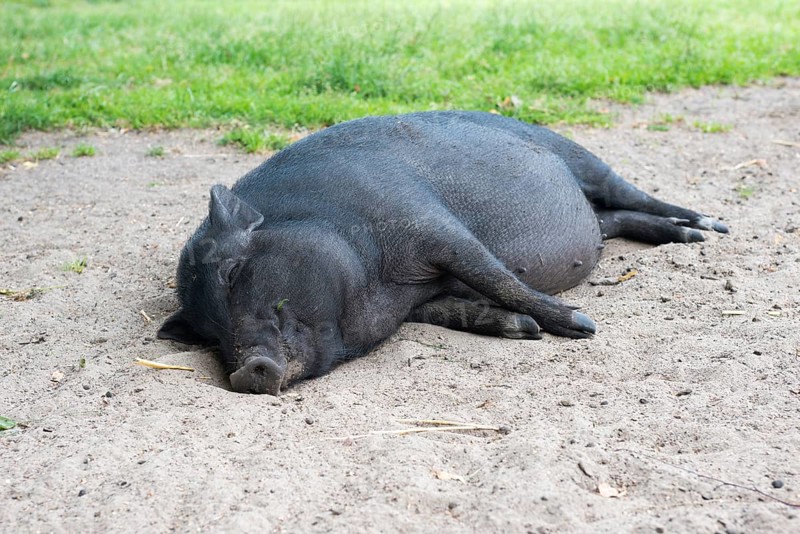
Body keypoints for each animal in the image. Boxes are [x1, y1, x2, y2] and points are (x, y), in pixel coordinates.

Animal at [157, 111, 727, 394]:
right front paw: (524, 330)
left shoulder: (431, 224)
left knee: (635, 195)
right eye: (205, 332)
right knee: (619, 221)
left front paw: (581, 325)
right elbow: (457, 309)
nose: (241, 373)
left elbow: (494, 273)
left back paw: (708, 229)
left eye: (233, 273)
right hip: (596, 220)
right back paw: (687, 236)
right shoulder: (420, 298)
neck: (380, 285)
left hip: (580, 157)